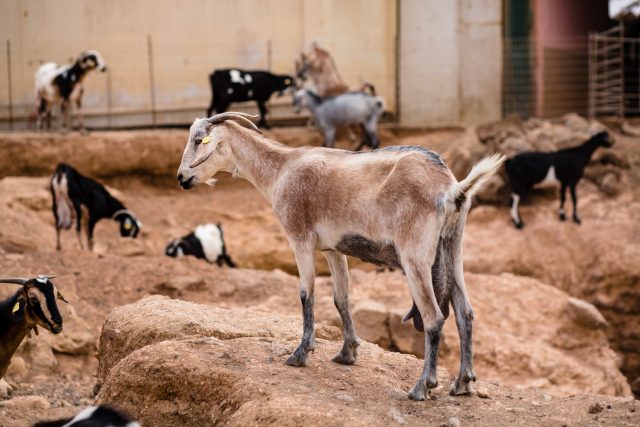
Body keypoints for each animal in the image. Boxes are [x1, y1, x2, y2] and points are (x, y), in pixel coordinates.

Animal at [176, 113, 504, 402]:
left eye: (198, 139)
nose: (181, 178)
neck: (281, 169)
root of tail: (452, 188)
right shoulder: (333, 249)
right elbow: (341, 298)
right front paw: (347, 353)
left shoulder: (300, 239)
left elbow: (306, 294)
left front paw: (300, 353)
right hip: (453, 247)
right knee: (465, 312)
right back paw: (462, 383)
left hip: (415, 257)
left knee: (434, 318)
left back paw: (422, 386)